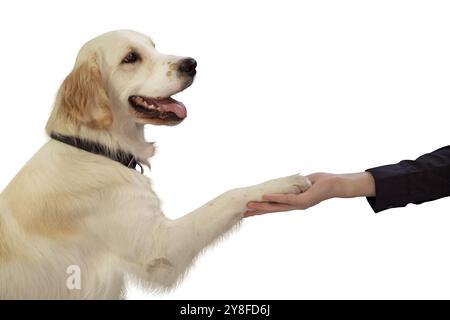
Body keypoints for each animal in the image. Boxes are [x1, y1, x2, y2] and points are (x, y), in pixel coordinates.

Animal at [0, 30, 310, 300]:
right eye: (131, 57)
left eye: (153, 46)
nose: (191, 64)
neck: (96, 148)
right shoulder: (159, 249)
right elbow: (228, 196)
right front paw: (285, 183)